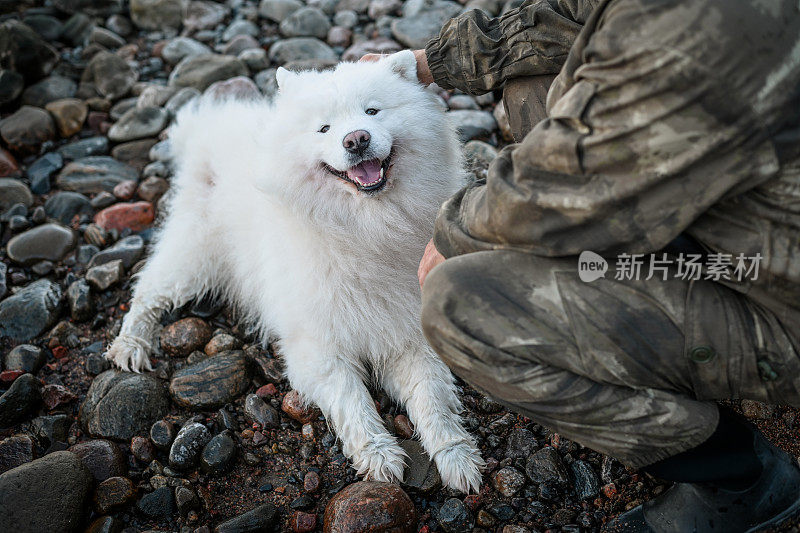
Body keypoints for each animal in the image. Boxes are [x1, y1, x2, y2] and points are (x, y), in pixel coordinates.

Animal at [104, 52, 484, 492]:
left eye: (373, 112)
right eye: (324, 128)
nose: (356, 139)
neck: (367, 229)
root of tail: (211, 129)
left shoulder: (406, 334)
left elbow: (433, 401)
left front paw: (457, 458)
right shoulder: (318, 347)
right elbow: (353, 402)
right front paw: (378, 456)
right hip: (193, 257)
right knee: (148, 293)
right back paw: (131, 345)